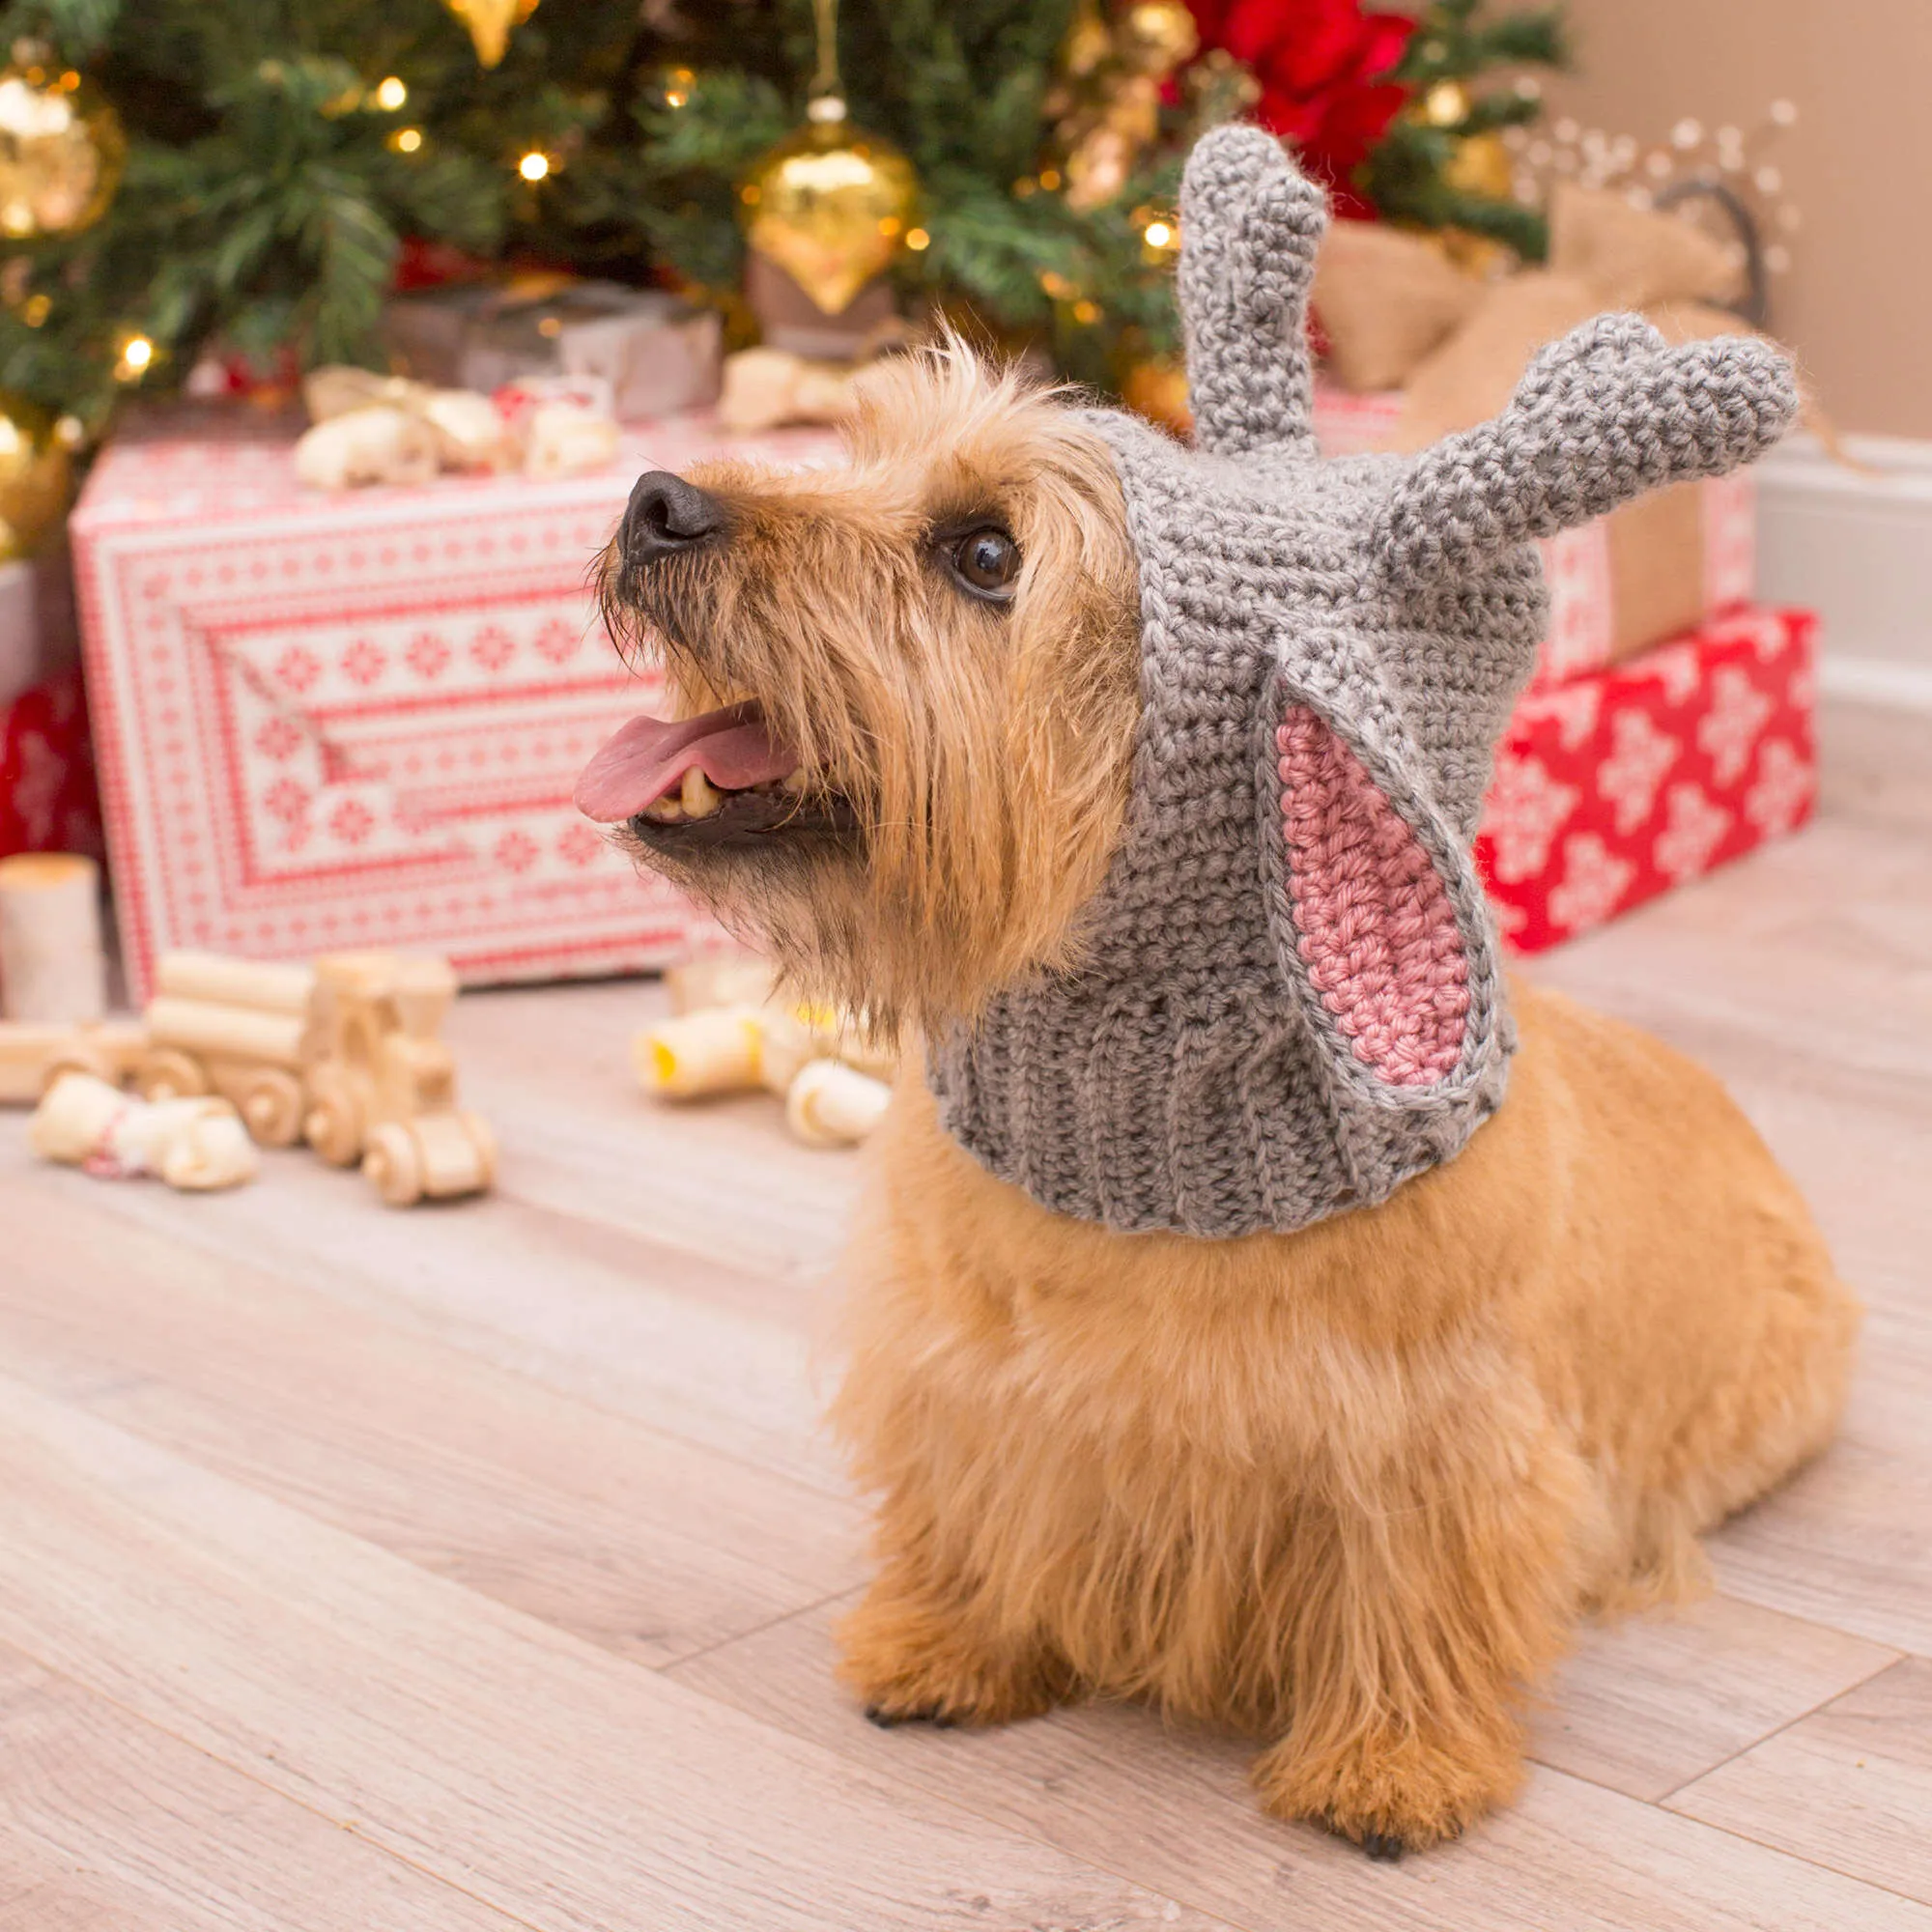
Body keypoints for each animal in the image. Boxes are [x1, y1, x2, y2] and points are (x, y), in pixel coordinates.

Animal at [576, 140, 1855, 1855]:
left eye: (983, 554)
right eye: (863, 452)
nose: (657, 499)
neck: (1150, 1147)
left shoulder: (1429, 1444)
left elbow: (1419, 1588)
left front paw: (1394, 1768)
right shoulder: (964, 1381)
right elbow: (961, 1508)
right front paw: (939, 1646)